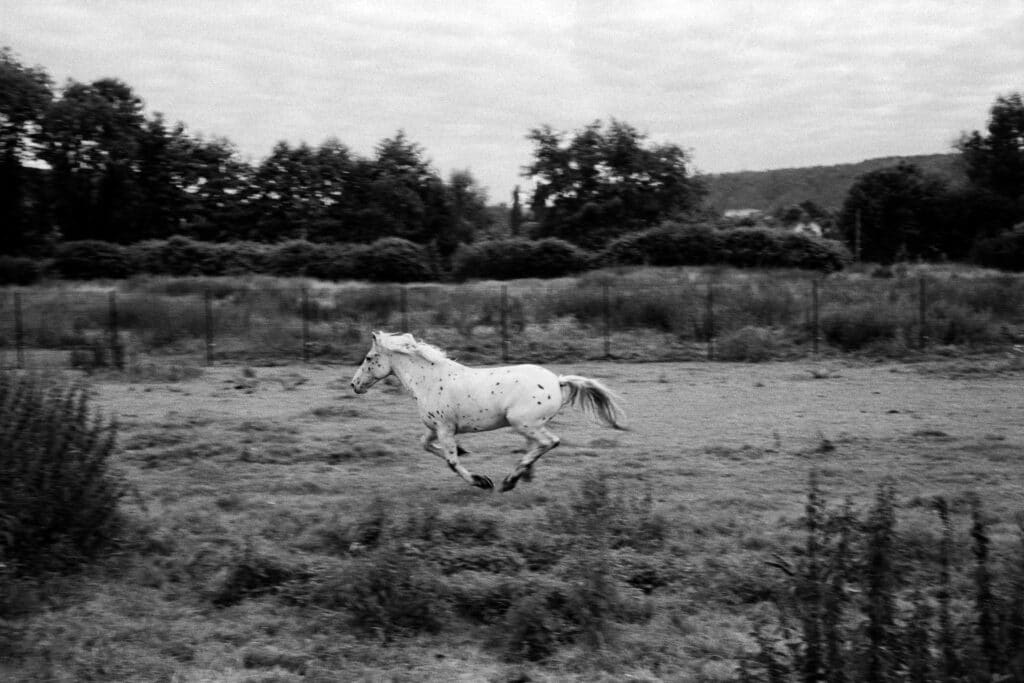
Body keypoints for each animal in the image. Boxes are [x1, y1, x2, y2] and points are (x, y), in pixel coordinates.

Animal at [350, 331, 622, 491]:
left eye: (369, 358)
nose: (354, 385)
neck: (429, 381)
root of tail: (557, 380)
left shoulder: (445, 428)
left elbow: (451, 461)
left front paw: (481, 481)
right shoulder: (435, 428)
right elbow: (426, 445)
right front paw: (464, 451)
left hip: (522, 422)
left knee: (549, 442)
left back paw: (510, 480)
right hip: (529, 426)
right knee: (537, 446)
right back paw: (523, 476)